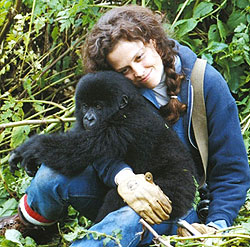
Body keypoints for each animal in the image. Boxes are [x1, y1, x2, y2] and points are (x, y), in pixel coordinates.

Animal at [9, 71, 197, 222]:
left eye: (98, 106)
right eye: (86, 106)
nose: (88, 118)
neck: (127, 107)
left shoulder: (125, 124)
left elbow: (77, 150)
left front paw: (30, 148)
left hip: (175, 193)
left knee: (118, 198)